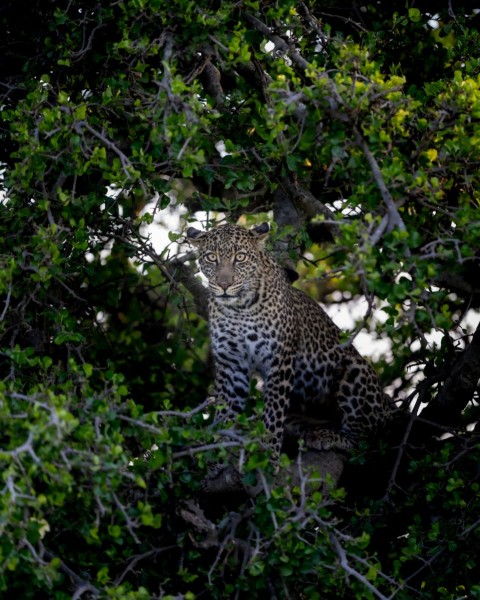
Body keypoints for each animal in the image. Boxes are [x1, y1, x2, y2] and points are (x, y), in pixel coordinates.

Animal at [187, 223, 394, 462]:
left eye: (240, 257)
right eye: (211, 257)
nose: (224, 285)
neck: (238, 308)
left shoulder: (279, 360)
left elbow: (273, 416)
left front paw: (268, 457)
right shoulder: (231, 363)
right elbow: (225, 411)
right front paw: (217, 449)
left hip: (355, 373)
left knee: (363, 441)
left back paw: (327, 437)